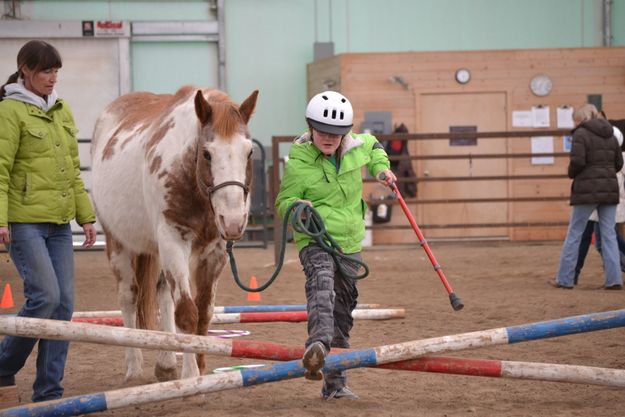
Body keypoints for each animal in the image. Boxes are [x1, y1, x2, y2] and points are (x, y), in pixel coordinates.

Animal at [89, 85, 256, 380]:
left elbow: (204, 312)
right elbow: (187, 314)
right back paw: (134, 367)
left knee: (163, 295)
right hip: (118, 243)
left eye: (248, 152)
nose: (233, 221)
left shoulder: (214, 252)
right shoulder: (173, 242)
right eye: (207, 153)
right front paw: (191, 376)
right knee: (129, 297)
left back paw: (166, 362)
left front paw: (199, 367)